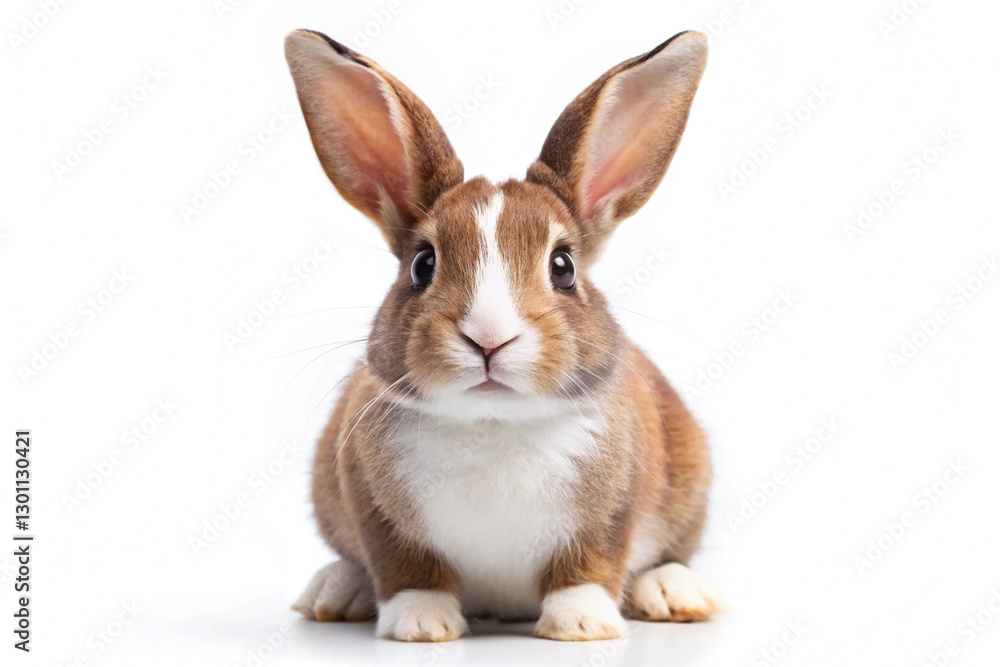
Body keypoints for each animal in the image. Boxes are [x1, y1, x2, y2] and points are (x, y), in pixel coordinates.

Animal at [284, 28, 720, 642]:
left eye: (563, 266)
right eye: (423, 264)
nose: (488, 339)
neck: (492, 425)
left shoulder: (612, 512)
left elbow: (587, 567)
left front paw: (582, 626)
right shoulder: (371, 504)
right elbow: (406, 569)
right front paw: (420, 625)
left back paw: (675, 593)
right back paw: (335, 589)